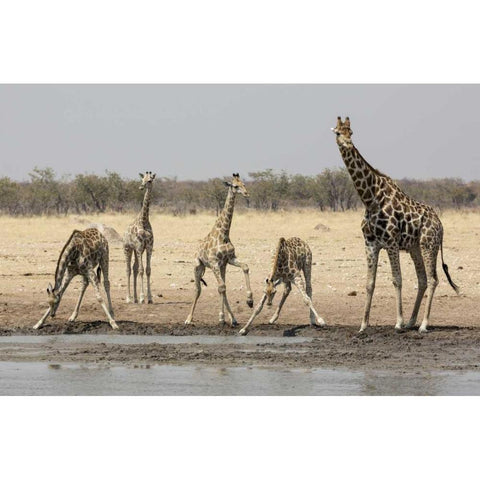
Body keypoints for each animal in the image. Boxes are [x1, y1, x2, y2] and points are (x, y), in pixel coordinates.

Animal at [185, 172, 255, 326]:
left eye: (243, 184)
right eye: (235, 186)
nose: (246, 193)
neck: (224, 233)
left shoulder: (229, 259)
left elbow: (245, 267)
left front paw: (250, 301)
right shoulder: (214, 262)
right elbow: (221, 287)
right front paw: (221, 317)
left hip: (222, 267)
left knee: (223, 287)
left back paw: (233, 319)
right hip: (198, 266)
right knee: (198, 289)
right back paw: (188, 319)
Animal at [330, 116, 458, 334]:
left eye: (351, 132)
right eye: (338, 132)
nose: (348, 144)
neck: (370, 199)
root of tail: (440, 225)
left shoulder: (390, 242)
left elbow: (397, 280)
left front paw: (397, 322)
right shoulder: (370, 244)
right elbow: (369, 283)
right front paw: (363, 325)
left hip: (429, 245)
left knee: (433, 279)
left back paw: (423, 324)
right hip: (415, 247)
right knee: (422, 279)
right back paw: (411, 321)